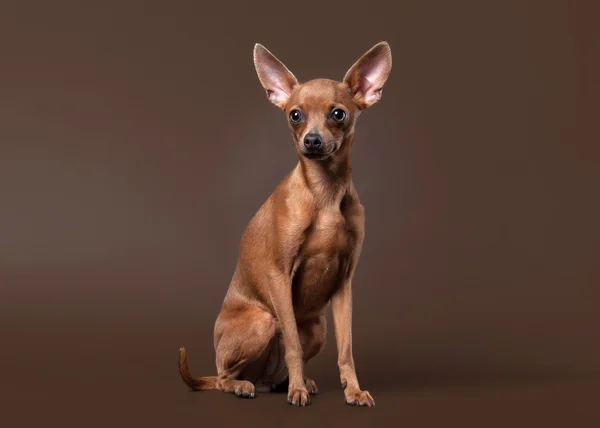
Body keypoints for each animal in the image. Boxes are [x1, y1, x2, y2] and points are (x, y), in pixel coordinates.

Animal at [178, 41, 394, 406]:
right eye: (295, 115)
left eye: (338, 114)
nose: (312, 140)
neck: (325, 193)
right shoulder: (279, 276)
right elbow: (291, 343)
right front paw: (297, 393)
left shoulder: (344, 283)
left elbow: (346, 349)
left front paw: (352, 390)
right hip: (264, 319)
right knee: (224, 376)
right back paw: (245, 385)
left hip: (318, 327)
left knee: (271, 374)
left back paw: (293, 381)